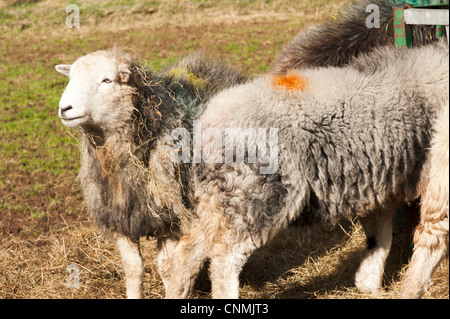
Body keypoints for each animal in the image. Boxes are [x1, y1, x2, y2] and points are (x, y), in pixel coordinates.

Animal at [56, 50, 248, 300]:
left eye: (107, 80)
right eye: (71, 78)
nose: (64, 108)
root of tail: (227, 72)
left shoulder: (177, 220)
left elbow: (171, 271)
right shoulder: (123, 218)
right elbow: (134, 269)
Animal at [160, 42, 448, 300]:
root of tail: (208, 124)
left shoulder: (377, 184)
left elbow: (380, 238)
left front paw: (369, 287)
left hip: (217, 200)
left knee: (187, 252)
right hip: (259, 197)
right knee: (224, 259)